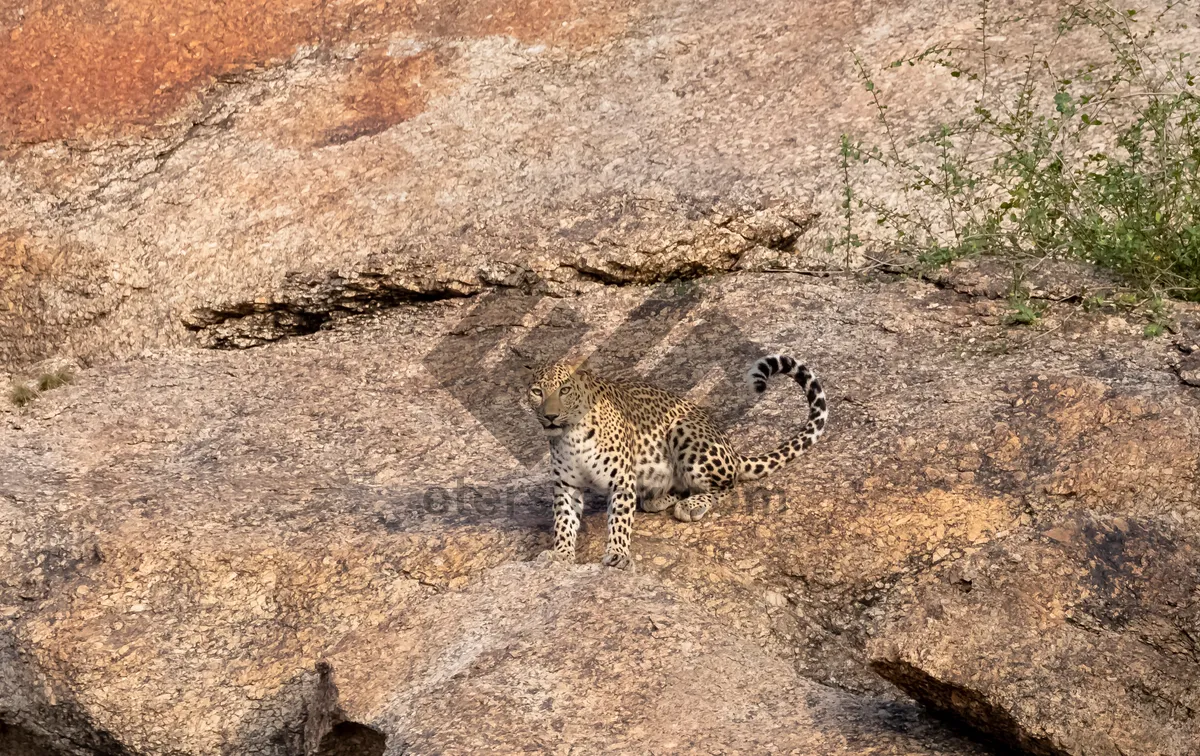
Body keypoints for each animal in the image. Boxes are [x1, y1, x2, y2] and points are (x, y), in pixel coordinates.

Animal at [525, 355, 825, 568]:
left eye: (565, 390)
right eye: (537, 392)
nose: (550, 416)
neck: (570, 435)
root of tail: (732, 449)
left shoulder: (621, 480)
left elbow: (620, 520)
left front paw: (618, 554)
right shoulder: (566, 485)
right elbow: (564, 522)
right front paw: (561, 553)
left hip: (685, 430)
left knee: (727, 486)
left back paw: (690, 505)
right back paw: (659, 499)